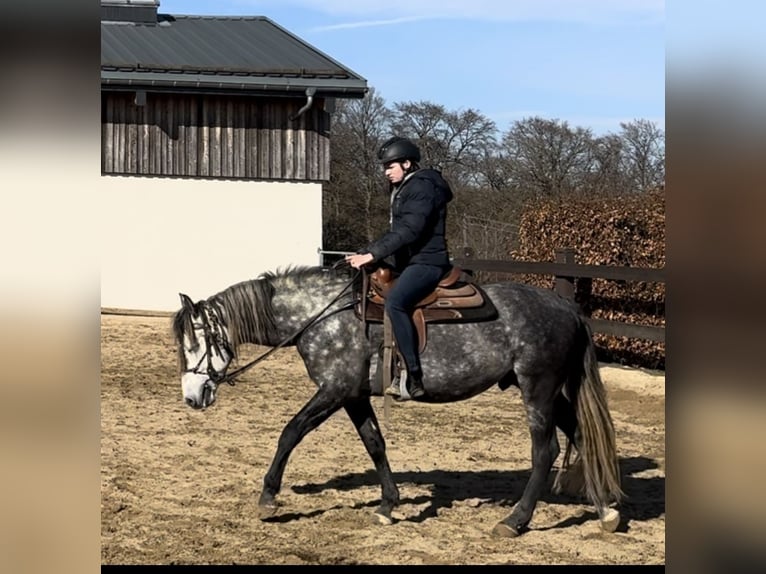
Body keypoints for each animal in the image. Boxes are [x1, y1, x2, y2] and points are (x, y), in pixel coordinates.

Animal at [174, 268, 624, 536]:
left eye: (197, 341)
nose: (192, 397)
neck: (324, 317)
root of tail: (566, 306)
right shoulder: (353, 395)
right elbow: (374, 443)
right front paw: (388, 504)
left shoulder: (333, 390)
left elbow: (291, 432)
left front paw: (268, 498)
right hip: (545, 390)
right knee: (581, 436)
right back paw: (606, 512)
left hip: (538, 389)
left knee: (545, 451)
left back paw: (515, 520)